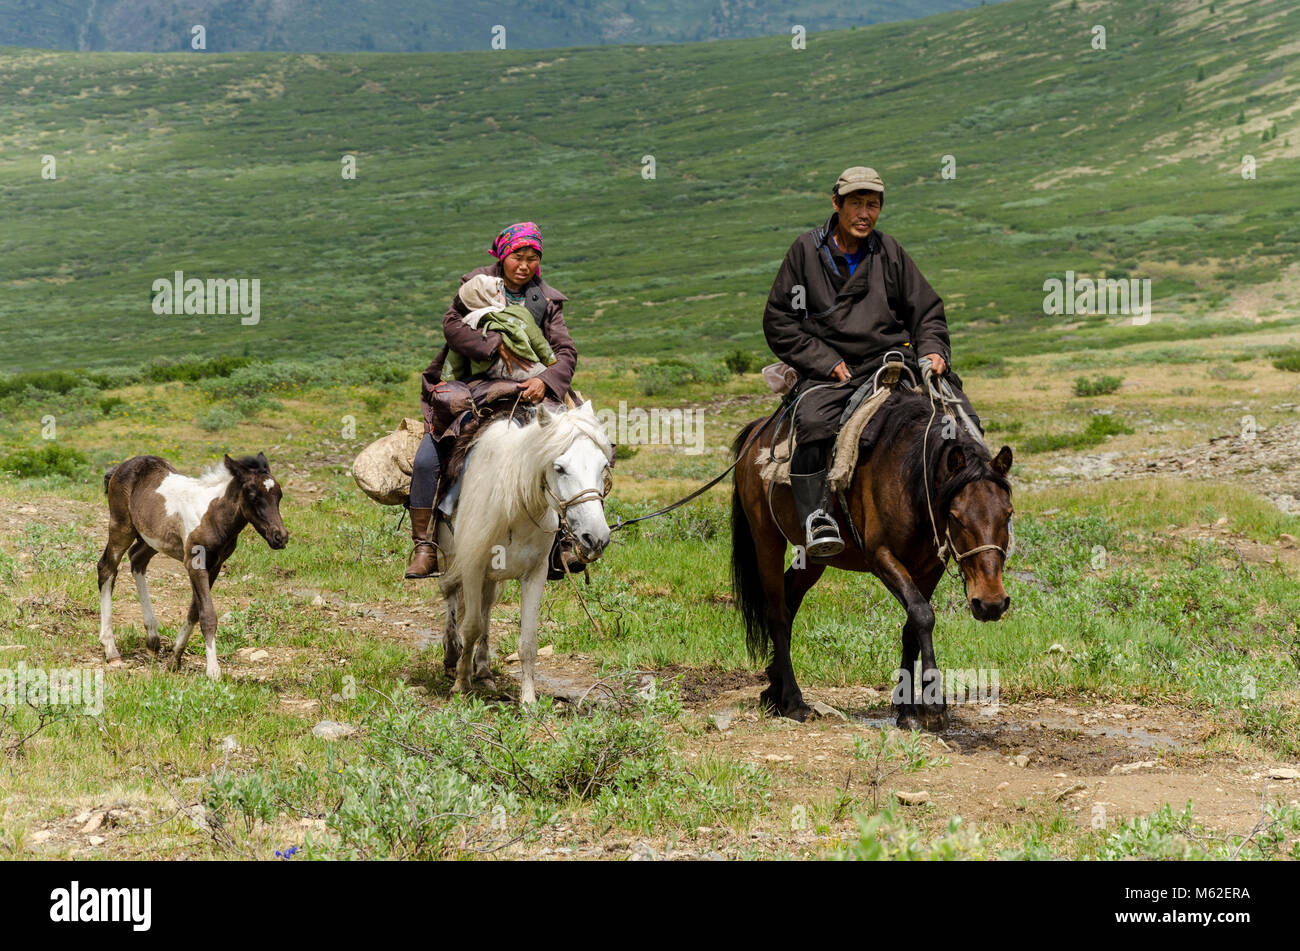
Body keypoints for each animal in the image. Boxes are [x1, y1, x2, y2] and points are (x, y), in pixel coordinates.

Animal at [96, 452, 289, 675]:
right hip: (121, 528)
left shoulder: (215, 565)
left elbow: (195, 611)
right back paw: (111, 650)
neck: (212, 515)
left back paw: (152, 638)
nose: (280, 537)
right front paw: (213, 671)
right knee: (107, 569)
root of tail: (119, 468)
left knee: (137, 559)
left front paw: (174, 658)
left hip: (153, 538)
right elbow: (207, 614)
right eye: (252, 495)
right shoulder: (195, 564)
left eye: (279, 496)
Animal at [436, 397, 613, 701]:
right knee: (451, 596)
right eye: (559, 468)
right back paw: (452, 656)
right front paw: (460, 683)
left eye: (602, 465)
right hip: (451, 558)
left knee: (486, 609)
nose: (597, 537)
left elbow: (528, 640)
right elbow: (470, 626)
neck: (515, 507)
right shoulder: (472, 567)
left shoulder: (534, 574)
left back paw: (483, 670)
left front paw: (528, 699)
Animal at [733, 389, 1013, 732]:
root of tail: (757, 433)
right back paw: (795, 702)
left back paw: (775, 689)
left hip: (813, 557)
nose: (991, 603)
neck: (909, 479)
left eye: (1008, 513)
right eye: (956, 517)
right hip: (766, 540)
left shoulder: (930, 567)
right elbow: (923, 615)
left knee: (790, 598)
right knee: (777, 612)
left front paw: (907, 710)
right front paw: (933, 706)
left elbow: (913, 625)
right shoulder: (881, 557)